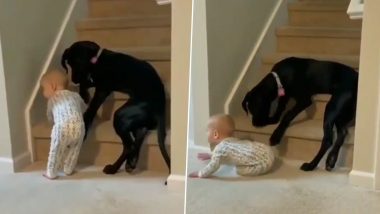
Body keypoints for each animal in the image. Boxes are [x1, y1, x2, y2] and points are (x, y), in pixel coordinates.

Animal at [61, 40, 171, 176]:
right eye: (69, 64)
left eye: (76, 62)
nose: (73, 80)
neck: (97, 59)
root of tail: (161, 106)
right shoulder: (94, 80)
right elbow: (85, 83)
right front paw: (84, 94)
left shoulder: (102, 89)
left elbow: (91, 108)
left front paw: (85, 125)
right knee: (141, 132)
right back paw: (131, 162)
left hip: (121, 115)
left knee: (129, 146)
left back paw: (113, 168)